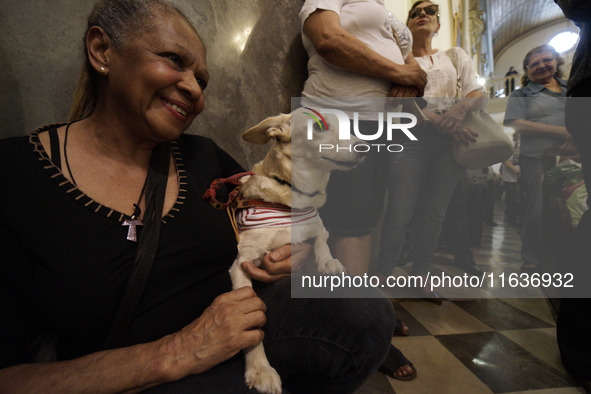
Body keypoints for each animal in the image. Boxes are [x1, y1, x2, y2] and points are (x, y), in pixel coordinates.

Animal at [228, 106, 366, 392]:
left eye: (349, 127)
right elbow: (251, 323)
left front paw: (328, 262)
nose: (365, 147)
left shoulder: (316, 225)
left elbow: (321, 238)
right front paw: (261, 368)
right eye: (319, 126)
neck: (293, 197)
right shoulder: (242, 263)